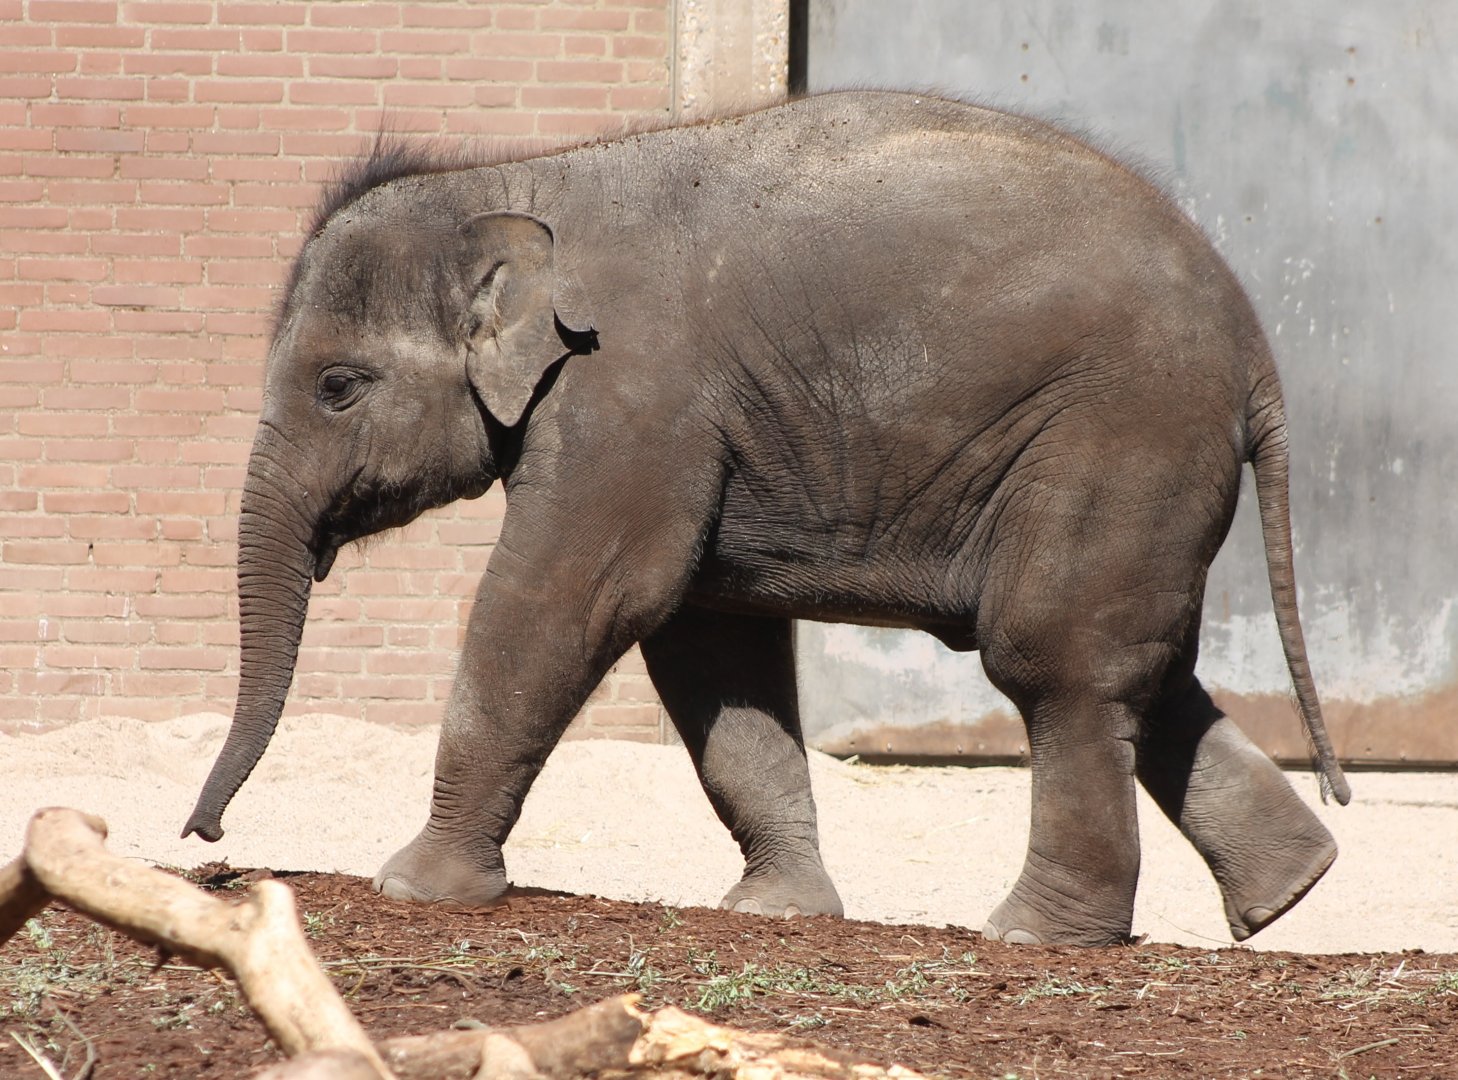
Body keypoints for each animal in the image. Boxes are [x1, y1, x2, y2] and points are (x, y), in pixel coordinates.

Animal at [182, 90, 1350, 946]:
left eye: (339, 386)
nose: (207, 842)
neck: (508, 184)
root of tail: (1256, 350)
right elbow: (708, 640)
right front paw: (777, 912)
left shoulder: (632, 397)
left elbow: (574, 599)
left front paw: (415, 889)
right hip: (1149, 473)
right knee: (1142, 667)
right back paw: (1288, 893)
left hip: (1118, 437)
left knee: (1054, 659)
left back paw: (1034, 936)